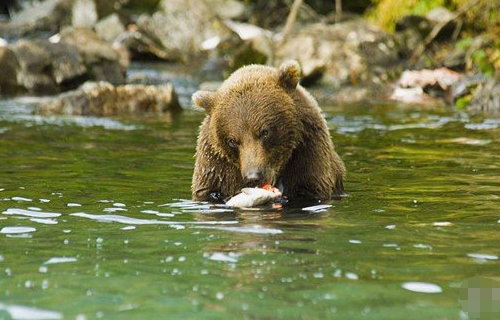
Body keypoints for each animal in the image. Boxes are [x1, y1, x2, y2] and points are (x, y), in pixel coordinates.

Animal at [190, 60, 344, 202]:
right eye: (232, 140)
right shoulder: (215, 165)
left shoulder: (309, 152)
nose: (253, 177)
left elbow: (308, 188)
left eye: (265, 132)